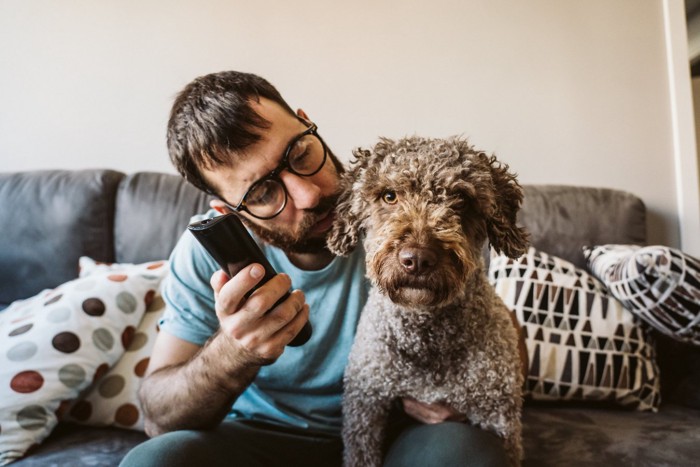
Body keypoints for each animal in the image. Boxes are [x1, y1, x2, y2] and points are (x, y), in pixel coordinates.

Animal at [328, 136, 532, 467]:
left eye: (461, 199)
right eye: (389, 196)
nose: (417, 259)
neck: (427, 337)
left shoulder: (499, 418)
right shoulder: (365, 408)